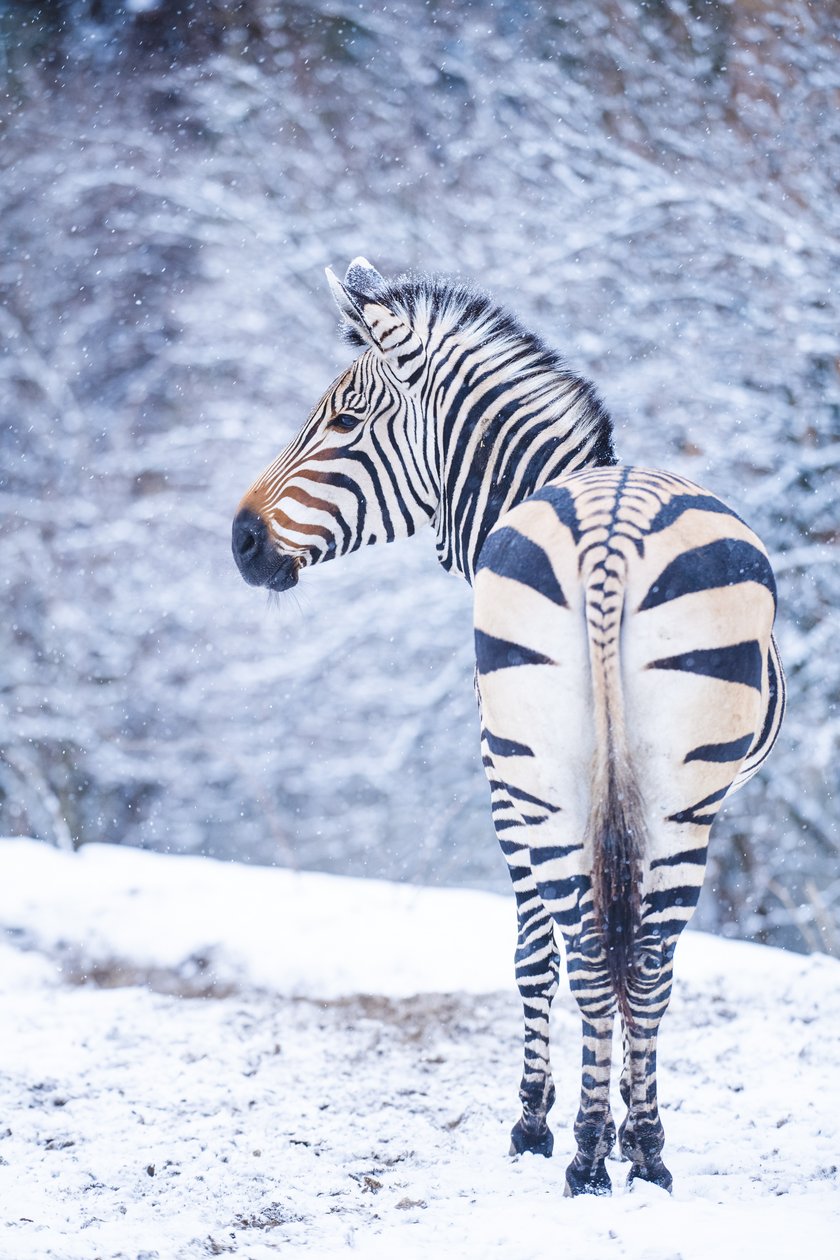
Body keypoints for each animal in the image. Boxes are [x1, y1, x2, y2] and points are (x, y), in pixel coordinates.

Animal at [230, 260, 780, 1194]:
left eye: (344, 420)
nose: (239, 539)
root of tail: (611, 530)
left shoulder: (501, 781)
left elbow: (536, 951)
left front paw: (540, 1120)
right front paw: (614, 1123)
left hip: (552, 777)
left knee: (596, 953)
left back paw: (594, 1154)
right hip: (668, 789)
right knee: (638, 957)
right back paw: (636, 1153)